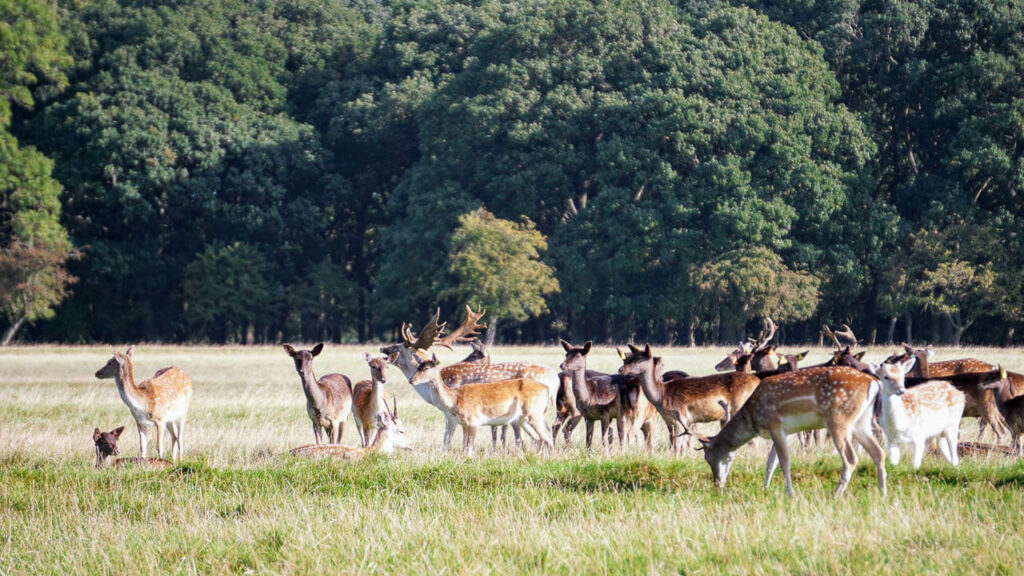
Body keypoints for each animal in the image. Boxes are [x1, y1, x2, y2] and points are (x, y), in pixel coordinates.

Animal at [407, 352, 552, 455]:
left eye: (426, 368)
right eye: (417, 367)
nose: (411, 380)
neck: (454, 400)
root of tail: (547, 389)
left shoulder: (473, 421)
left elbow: (469, 450)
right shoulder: (463, 424)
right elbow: (461, 447)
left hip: (535, 413)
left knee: (548, 436)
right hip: (522, 418)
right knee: (538, 438)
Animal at [614, 342, 761, 450]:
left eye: (639, 359)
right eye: (627, 359)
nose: (621, 369)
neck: (662, 395)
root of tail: (757, 380)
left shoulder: (681, 416)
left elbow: (678, 445)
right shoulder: (673, 420)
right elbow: (678, 443)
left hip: (739, 407)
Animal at [679, 364, 888, 496]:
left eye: (708, 457)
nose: (717, 484)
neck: (752, 417)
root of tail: (874, 382)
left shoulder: (776, 425)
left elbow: (785, 463)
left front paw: (790, 494)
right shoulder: (780, 431)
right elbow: (770, 463)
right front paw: (765, 489)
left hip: (839, 419)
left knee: (851, 458)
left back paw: (836, 494)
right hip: (861, 421)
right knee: (878, 453)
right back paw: (882, 493)